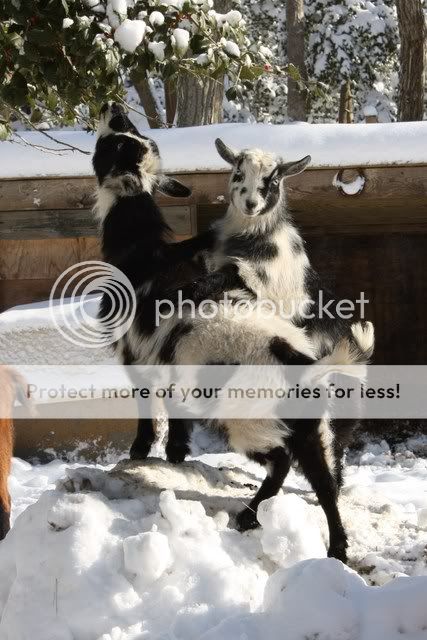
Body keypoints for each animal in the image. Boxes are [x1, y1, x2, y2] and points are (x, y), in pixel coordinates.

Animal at [92, 103, 374, 561]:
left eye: (116, 144)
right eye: (128, 140)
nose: (113, 109)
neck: (142, 254)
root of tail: (301, 360)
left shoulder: (135, 353)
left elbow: (146, 405)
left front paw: (142, 450)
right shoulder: (171, 363)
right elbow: (177, 412)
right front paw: (175, 455)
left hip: (249, 421)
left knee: (281, 461)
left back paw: (251, 517)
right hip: (310, 426)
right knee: (323, 482)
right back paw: (335, 549)